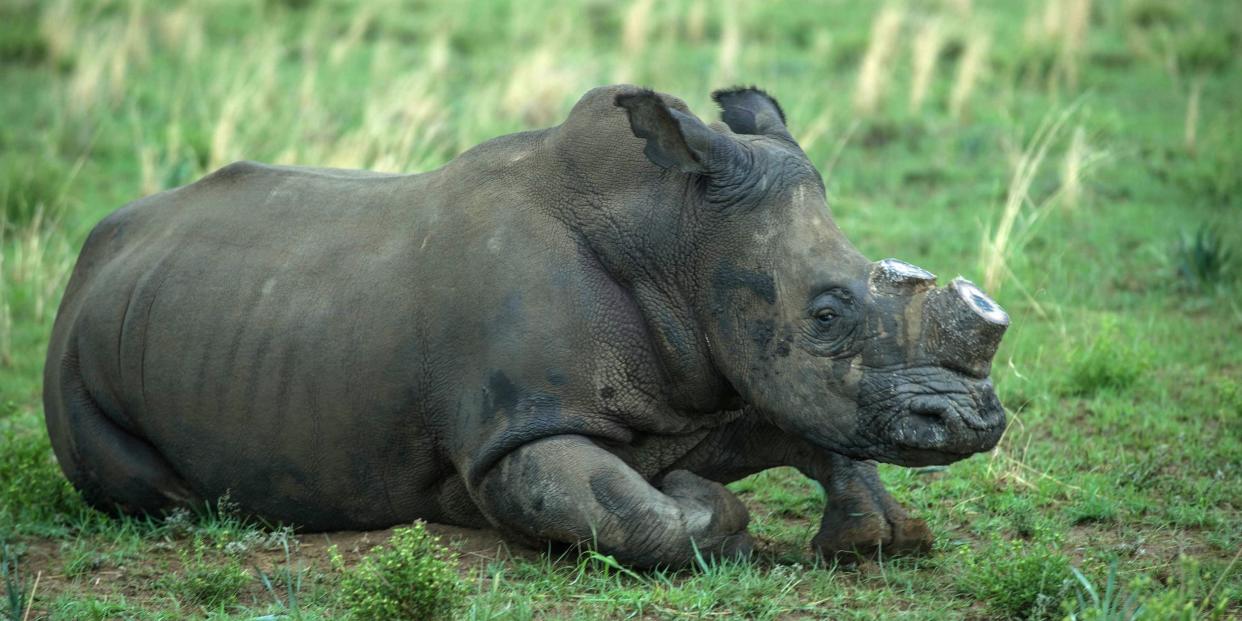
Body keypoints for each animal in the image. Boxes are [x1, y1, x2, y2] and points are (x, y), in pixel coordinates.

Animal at [43, 86, 1008, 568]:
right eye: (827, 314)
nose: (974, 421)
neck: (675, 237)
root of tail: (90, 257)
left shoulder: (708, 377)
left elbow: (808, 427)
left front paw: (877, 536)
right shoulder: (516, 432)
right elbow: (641, 516)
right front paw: (706, 504)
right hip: (78, 364)